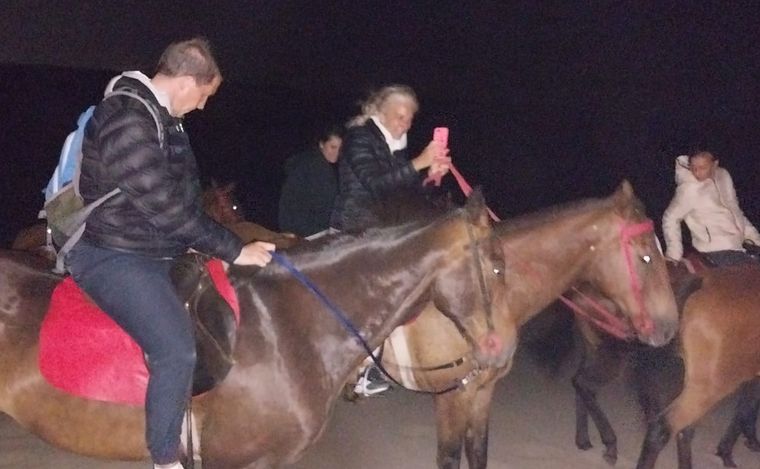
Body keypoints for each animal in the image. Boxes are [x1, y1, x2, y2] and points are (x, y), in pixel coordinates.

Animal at [371, 181, 679, 469]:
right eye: (646, 256)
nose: (670, 326)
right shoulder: (452, 396)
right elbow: (450, 458)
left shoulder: (482, 392)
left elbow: (478, 452)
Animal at [568, 261, 760, 469]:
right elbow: (746, 410)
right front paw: (735, 449)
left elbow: (746, 409)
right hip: (707, 386)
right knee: (661, 429)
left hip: (597, 348)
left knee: (580, 382)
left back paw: (585, 440)